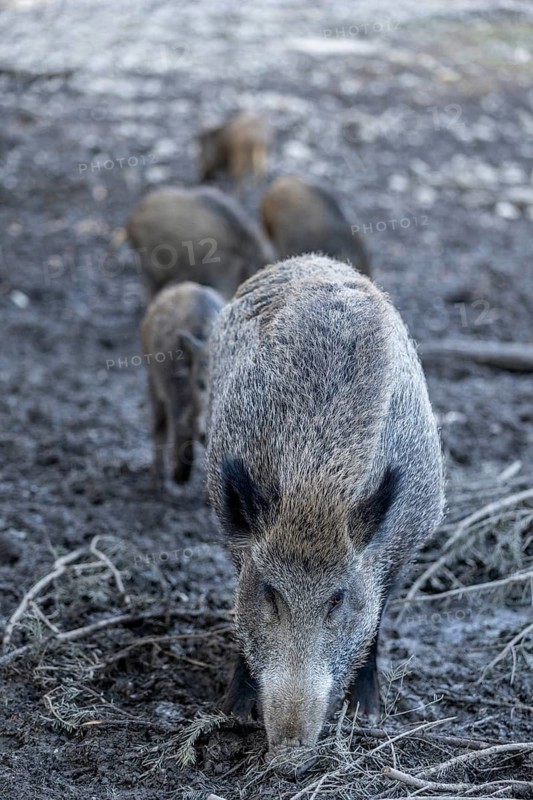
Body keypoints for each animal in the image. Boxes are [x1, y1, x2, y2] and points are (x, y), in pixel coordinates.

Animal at [141, 281, 224, 485]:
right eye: (200, 384)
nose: (205, 433)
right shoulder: (175, 399)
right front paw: (179, 477)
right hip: (152, 379)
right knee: (159, 425)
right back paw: (158, 478)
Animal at [206, 255, 444, 752]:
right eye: (271, 593)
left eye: (337, 599)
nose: (290, 743)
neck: (316, 493)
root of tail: (311, 259)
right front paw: (233, 711)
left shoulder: (405, 545)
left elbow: (375, 621)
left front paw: (368, 713)